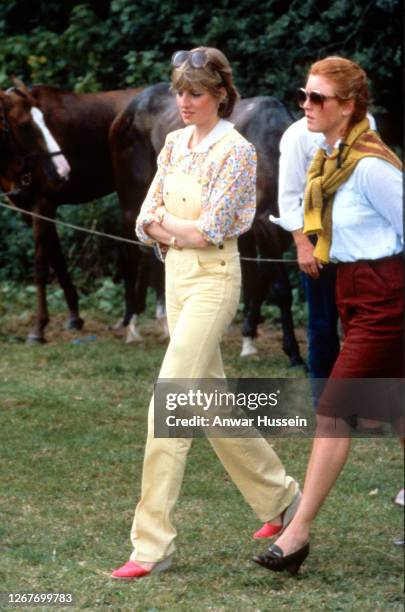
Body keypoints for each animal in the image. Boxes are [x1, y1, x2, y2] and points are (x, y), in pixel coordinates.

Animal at [0, 81, 141, 342]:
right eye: (24, 124)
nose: (63, 169)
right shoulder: (30, 210)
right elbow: (57, 259)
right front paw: (74, 317)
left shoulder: (42, 205)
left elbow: (40, 265)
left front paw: (38, 329)